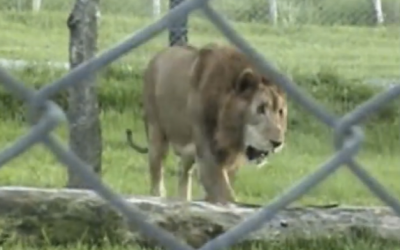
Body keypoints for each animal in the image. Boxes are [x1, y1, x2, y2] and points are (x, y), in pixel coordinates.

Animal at [126, 43, 286, 205]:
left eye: (280, 111)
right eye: (260, 109)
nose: (277, 143)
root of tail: (157, 56)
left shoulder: (230, 162)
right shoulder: (208, 157)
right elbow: (228, 196)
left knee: (183, 174)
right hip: (156, 133)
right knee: (156, 176)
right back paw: (158, 196)